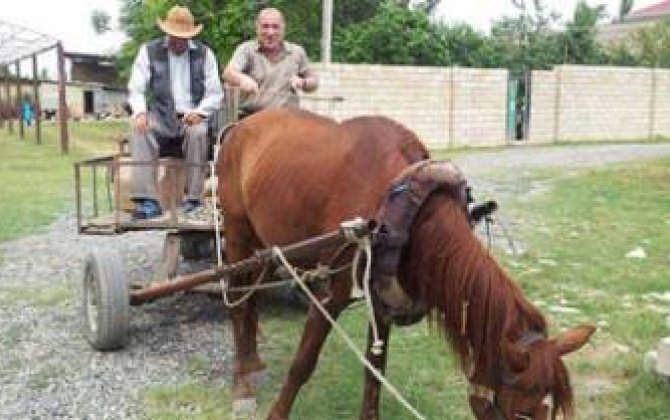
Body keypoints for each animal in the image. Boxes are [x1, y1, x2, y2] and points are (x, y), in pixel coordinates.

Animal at [218, 109, 596, 420]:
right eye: (521, 413)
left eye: (550, 410)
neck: (401, 210)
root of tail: (241, 124)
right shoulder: (330, 295)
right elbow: (302, 364)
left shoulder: (381, 299)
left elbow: (374, 373)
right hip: (237, 232)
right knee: (236, 301)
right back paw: (241, 384)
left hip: (269, 245)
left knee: (252, 296)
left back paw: (252, 360)